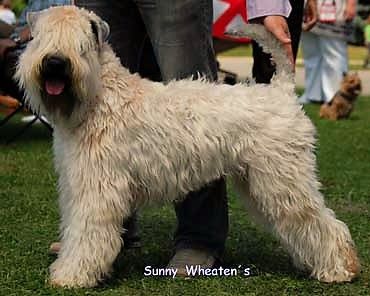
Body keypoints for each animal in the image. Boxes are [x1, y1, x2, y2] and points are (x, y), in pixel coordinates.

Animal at [15, 5, 360, 288]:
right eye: (41, 38)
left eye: (82, 44)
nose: (55, 62)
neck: (99, 98)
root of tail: (283, 90)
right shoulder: (77, 183)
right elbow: (76, 230)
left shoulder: (96, 189)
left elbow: (86, 234)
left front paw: (71, 275)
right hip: (260, 182)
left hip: (283, 180)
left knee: (323, 222)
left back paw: (339, 269)